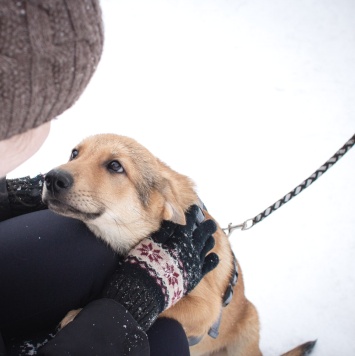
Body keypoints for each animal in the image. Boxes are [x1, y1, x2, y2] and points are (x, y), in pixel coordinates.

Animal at [42, 134, 318, 356]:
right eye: (74, 153)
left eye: (115, 166)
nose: (51, 178)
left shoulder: (205, 308)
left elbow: (162, 308)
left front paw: (77, 314)